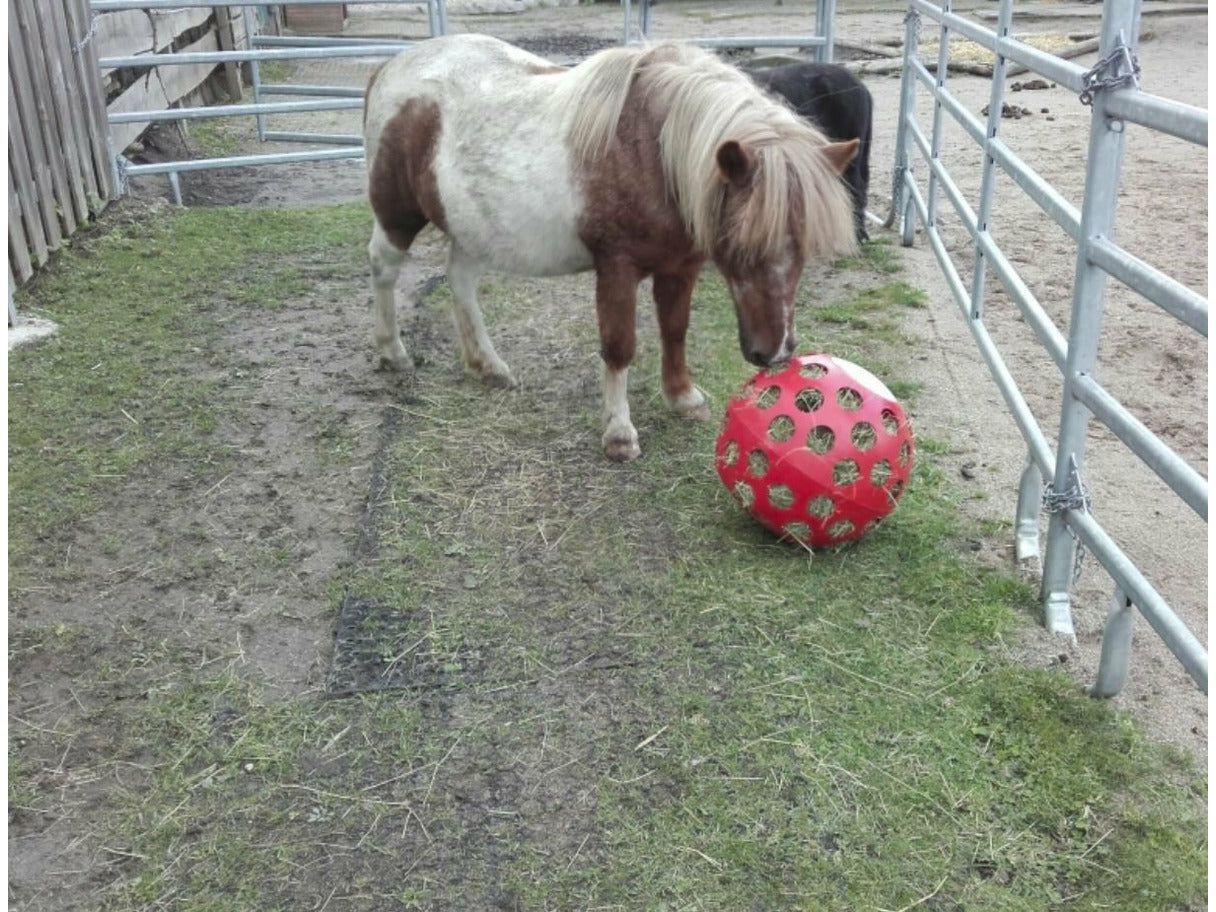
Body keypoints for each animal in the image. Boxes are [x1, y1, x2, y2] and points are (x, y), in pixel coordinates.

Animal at [359, 35, 856, 464]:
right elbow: (619, 346)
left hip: (471, 227)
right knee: (383, 269)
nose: (775, 353)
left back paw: (489, 366)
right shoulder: (617, 268)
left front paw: (683, 397)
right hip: (397, 216)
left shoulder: (681, 265)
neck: (654, 152)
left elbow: (675, 330)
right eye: (742, 243)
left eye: (805, 247)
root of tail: (391, 67)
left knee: (461, 283)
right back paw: (392, 352)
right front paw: (619, 433)